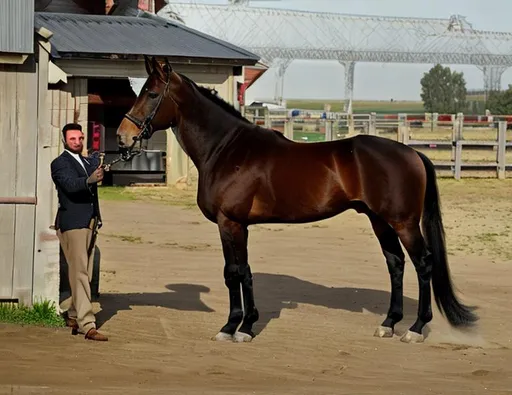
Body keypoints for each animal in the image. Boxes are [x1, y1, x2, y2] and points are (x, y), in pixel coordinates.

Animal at [115, 55, 476, 344]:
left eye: (150, 94)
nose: (123, 137)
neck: (225, 148)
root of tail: (412, 153)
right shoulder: (237, 225)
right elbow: (242, 272)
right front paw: (243, 326)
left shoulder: (230, 223)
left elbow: (234, 272)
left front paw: (235, 327)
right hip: (379, 221)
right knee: (396, 263)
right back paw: (388, 323)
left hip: (404, 223)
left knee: (423, 264)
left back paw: (415, 329)